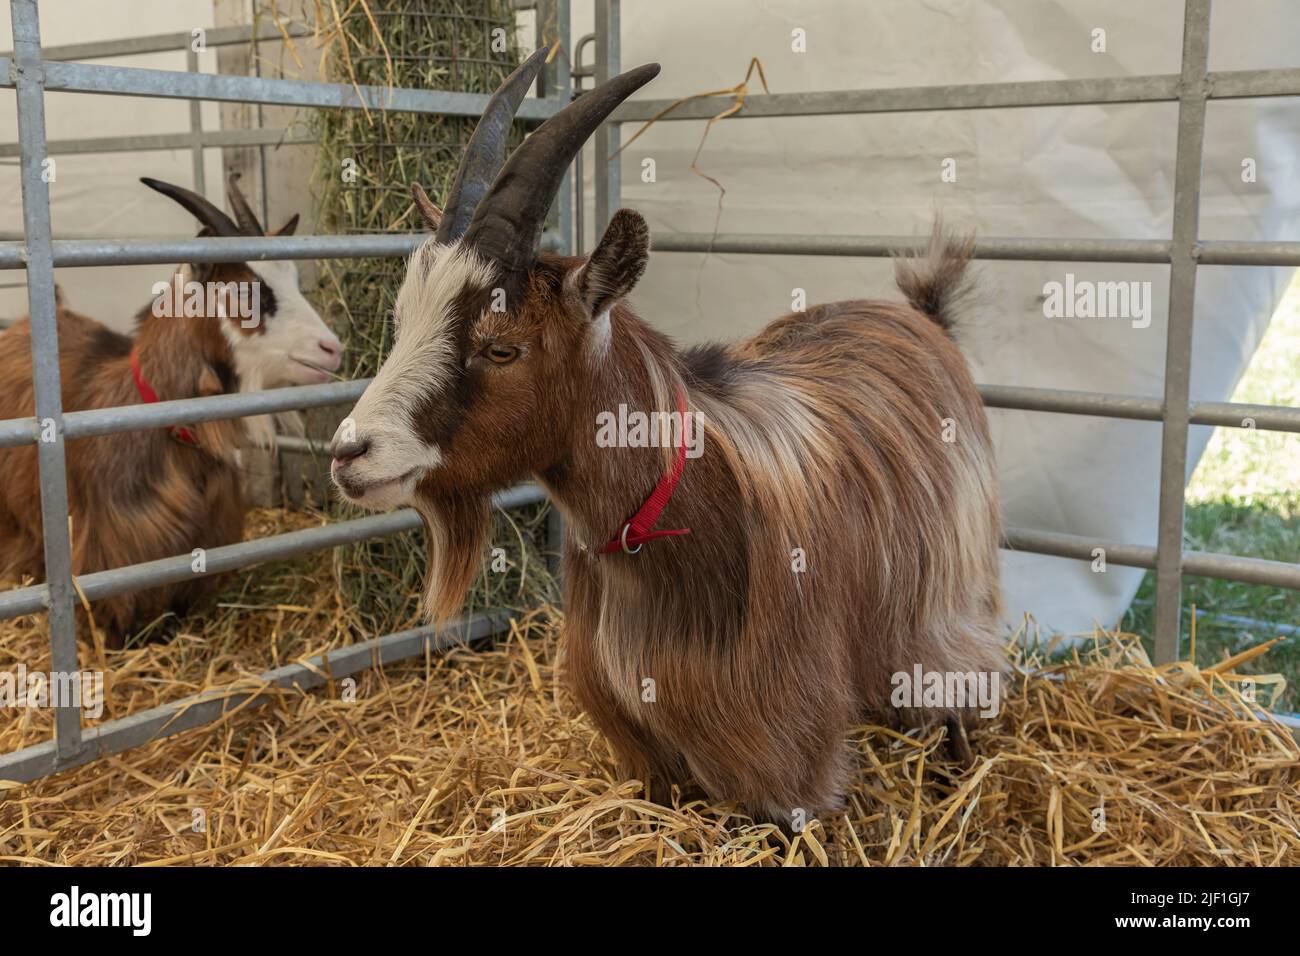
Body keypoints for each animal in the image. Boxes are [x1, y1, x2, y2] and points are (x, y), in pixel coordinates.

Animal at [330, 52, 998, 827]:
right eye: (404, 320)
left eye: (501, 348)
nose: (349, 453)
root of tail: (922, 318)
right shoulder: (641, 749)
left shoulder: (790, 767)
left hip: (946, 607)